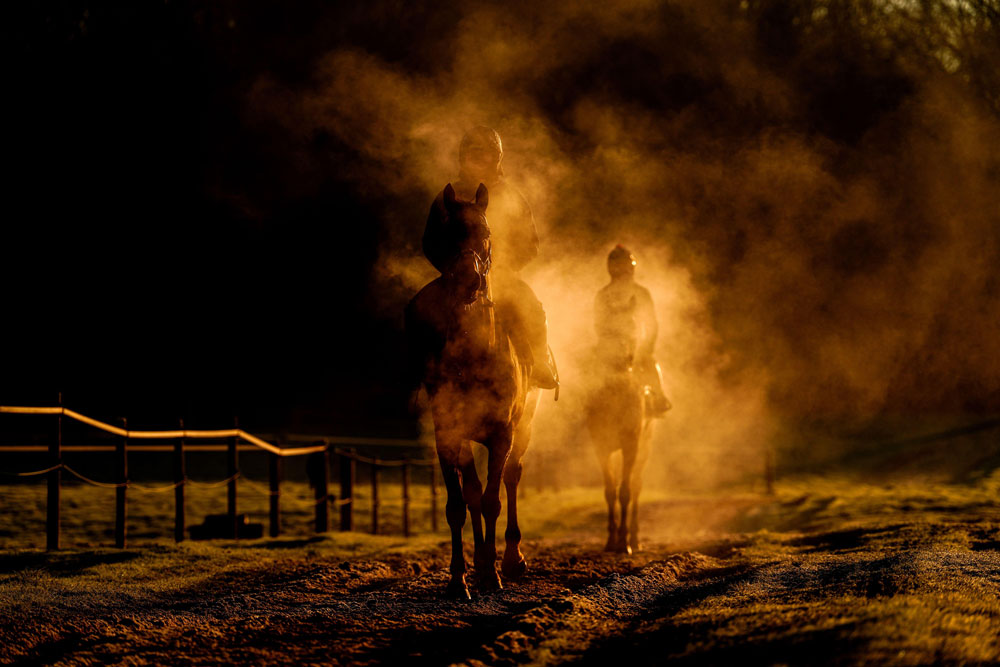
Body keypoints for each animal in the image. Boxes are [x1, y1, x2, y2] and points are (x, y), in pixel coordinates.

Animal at [404, 183, 540, 600]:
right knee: (474, 492)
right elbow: (459, 504)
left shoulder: (502, 434)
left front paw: (493, 575)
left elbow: (494, 500)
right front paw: (458, 579)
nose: (468, 279)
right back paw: (480, 562)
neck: (476, 351)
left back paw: (510, 560)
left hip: (525, 426)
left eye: (486, 233)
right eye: (449, 234)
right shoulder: (448, 434)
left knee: (511, 477)